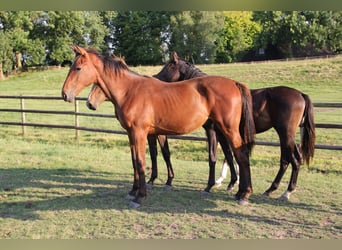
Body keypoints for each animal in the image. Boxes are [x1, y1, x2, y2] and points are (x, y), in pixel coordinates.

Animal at [61, 46, 255, 208]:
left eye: (78, 68)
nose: (64, 94)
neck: (130, 91)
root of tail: (235, 84)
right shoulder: (132, 134)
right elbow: (134, 161)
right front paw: (133, 191)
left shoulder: (140, 133)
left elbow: (141, 162)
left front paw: (140, 197)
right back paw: (238, 192)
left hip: (228, 130)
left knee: (241, 155)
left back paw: (244, 195)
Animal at [154, 51, 316, 200]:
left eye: (169, 66)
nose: (155, 78)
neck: (205, 96)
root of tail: (301, 94)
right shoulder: (222, 133)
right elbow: (230, 156)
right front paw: (232, 182)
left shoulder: (213, 131)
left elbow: (215, 157)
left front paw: (212, 184)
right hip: (286, 135)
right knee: (291, 159)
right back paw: (272, 189)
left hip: (285, 134)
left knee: (290, 160)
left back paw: (286, 191)